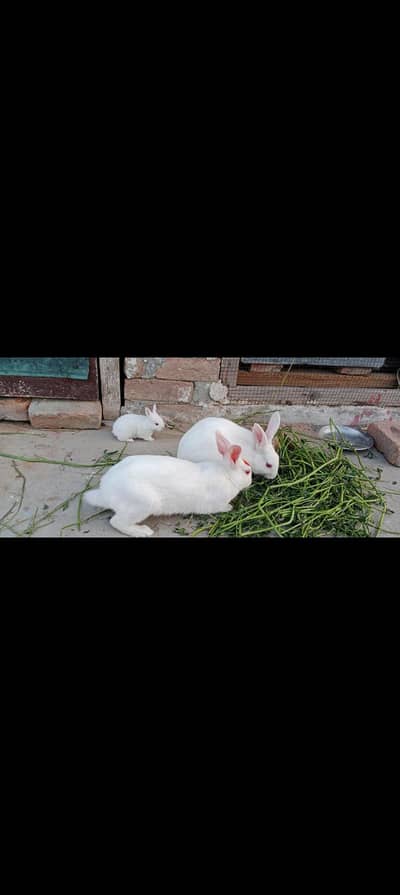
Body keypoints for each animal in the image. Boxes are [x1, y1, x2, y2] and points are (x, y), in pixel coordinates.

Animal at [84, 431, 252, 537]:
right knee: (116, 522)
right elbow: (221, 507)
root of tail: (105, 493)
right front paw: (230, 508)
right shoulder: (214, 504)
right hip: (142, 504)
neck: (226, 474)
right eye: (247, 472)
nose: (251, 481)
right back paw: (143, 532)